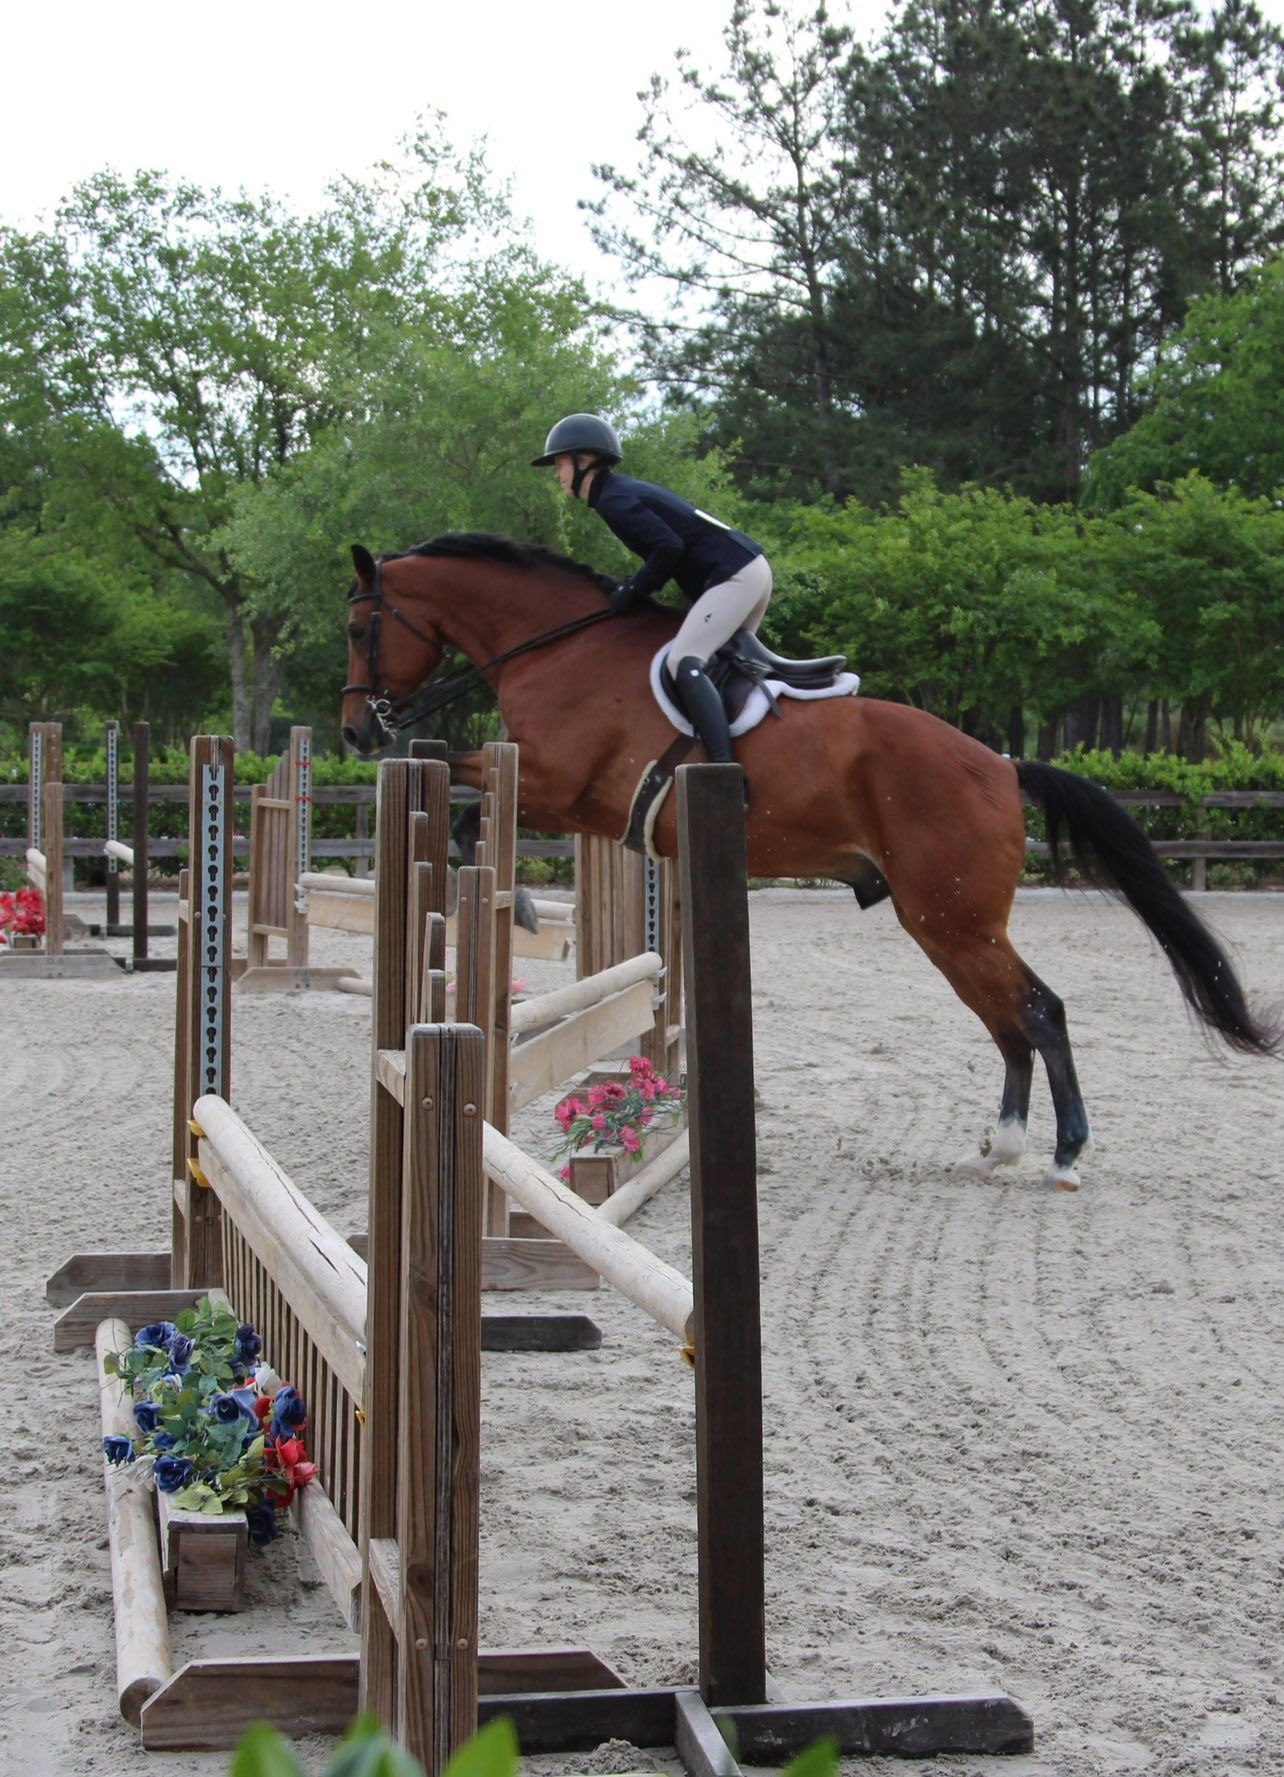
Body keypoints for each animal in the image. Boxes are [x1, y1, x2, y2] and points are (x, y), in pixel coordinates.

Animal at [340, 532, 1279, 1190]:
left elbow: (471, 808)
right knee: (1008, 1019)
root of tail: (1004, 764)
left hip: (953, 919)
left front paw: (528, 908)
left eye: (358, 625)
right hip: (944, 924)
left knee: (1038, 1011)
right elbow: (457, 788)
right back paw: (999, 1147)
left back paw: (1061, 1154)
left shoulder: (557, 785)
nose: (355, 729)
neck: (554, 644)